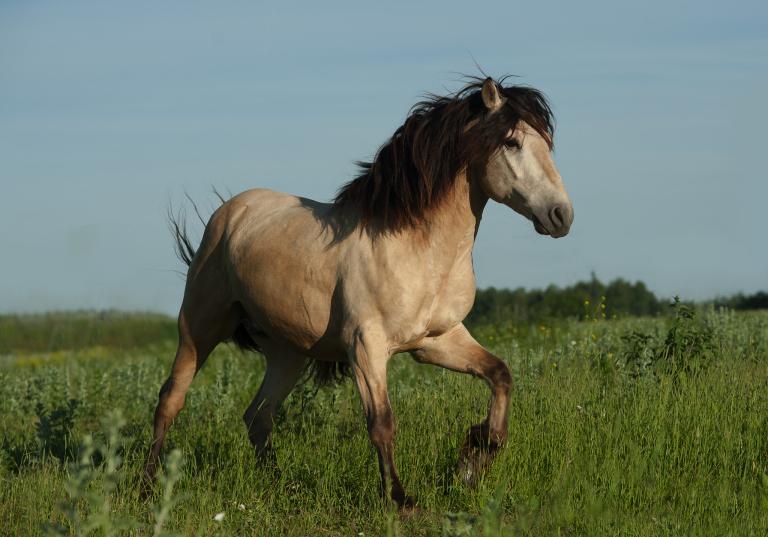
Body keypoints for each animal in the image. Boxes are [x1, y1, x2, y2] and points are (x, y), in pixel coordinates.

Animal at [144, 75, 572, 506]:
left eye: (546, 143)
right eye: (512, 142)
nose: (561, 216)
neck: (419, 248)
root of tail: (231, 212)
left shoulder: (437, 341)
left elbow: (501, 375)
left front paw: (473, 459)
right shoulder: (366, 346)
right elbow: (382, 423)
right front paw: (400, 500)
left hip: (287, 353)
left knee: (258, 416)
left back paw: (282, 486)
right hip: (200, 328)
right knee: (171, 400)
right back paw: (147, 486)